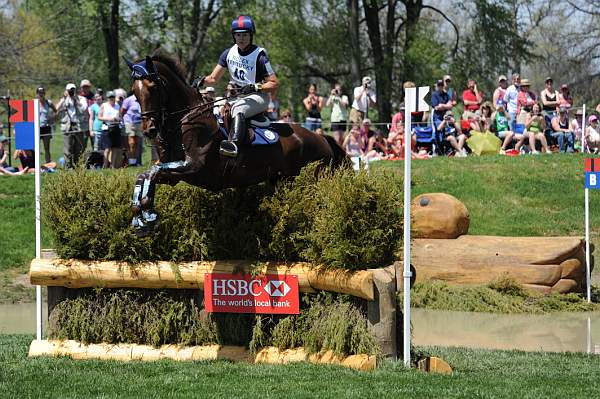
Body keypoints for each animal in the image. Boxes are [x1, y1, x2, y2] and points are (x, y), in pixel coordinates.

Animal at [123, 53, 346, 234]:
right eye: (134, 91)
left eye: (153, 87)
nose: (149, 129)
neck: (184, 120)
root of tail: (321, 138)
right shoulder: (173, 173)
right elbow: (145, 174)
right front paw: (140, 217)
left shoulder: (193, 167)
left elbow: (152, 172)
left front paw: (147, 213)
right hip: (280, 180)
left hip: (307, 178)